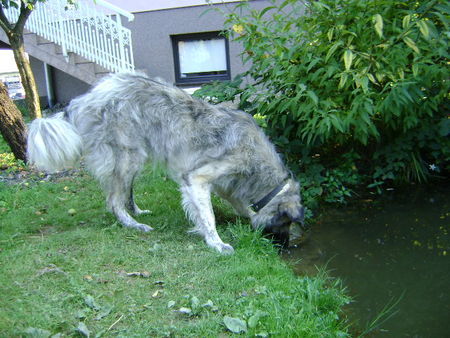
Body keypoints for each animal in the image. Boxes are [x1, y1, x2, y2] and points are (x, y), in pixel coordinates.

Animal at [28, 72, 306, 252]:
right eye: (284, 224)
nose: (285, 249)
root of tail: (83, 99)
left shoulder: (225, 184)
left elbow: (237, 205)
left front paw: (245, 216)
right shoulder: (197, 178)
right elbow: (208, 216)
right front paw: (216, 242)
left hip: (135, 157)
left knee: (125, 193)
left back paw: (137, 211)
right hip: (127, 156)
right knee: (113, 200)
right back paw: (134, 224)